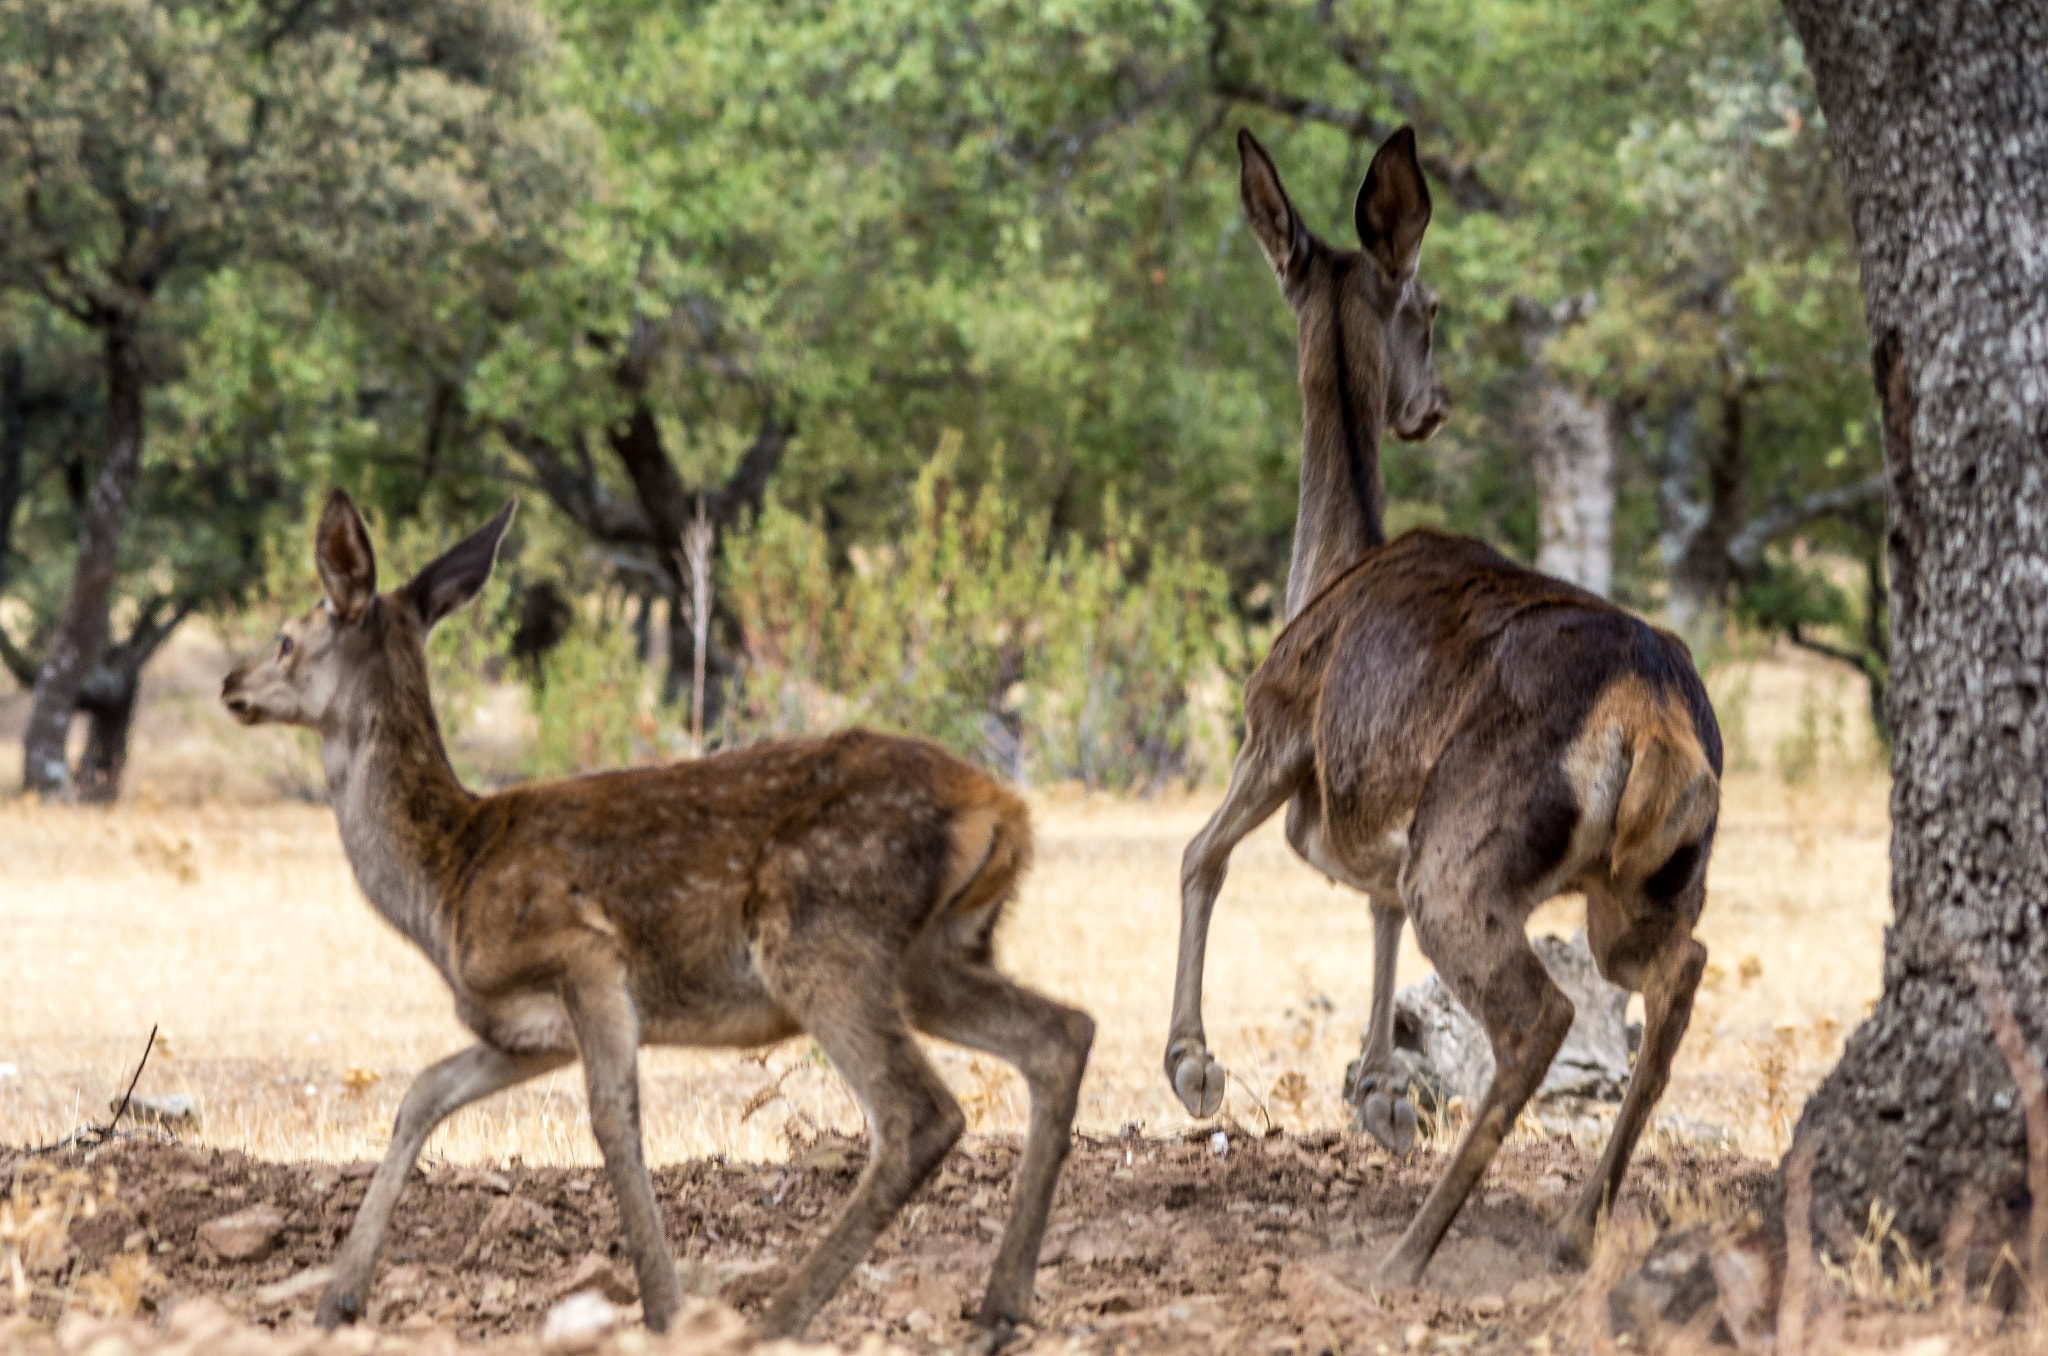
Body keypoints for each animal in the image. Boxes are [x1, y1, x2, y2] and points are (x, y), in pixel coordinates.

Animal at [216, 493, 1097, 1343]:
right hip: (936, 957)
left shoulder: (584, 955)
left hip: (824, 928)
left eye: (286, 637)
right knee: (1062, 1032)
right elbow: (425, 1092)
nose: (231, 683)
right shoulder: (524, 1029)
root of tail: (1004, 810)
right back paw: (998, 1309)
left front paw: (666, 1309)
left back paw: (779, 1320)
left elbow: (613, 1118)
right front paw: (337, 1301)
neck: (447, 879)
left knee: (919, 1112)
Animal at [1163, 133, 1720, 1294]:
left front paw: (1192, 1065)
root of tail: (1650, 714)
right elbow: (1367, 907)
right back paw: (1573, 1228)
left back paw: (1412, 1249)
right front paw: (1378, 1089)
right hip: (1647, 877)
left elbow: (1201, 854)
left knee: (1542, 1012)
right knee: (1672, 973)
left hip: (1468, 848)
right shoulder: (1368, 807)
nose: (1434, 404)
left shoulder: (1275, 730)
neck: (1325, 569)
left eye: (1429, 303)